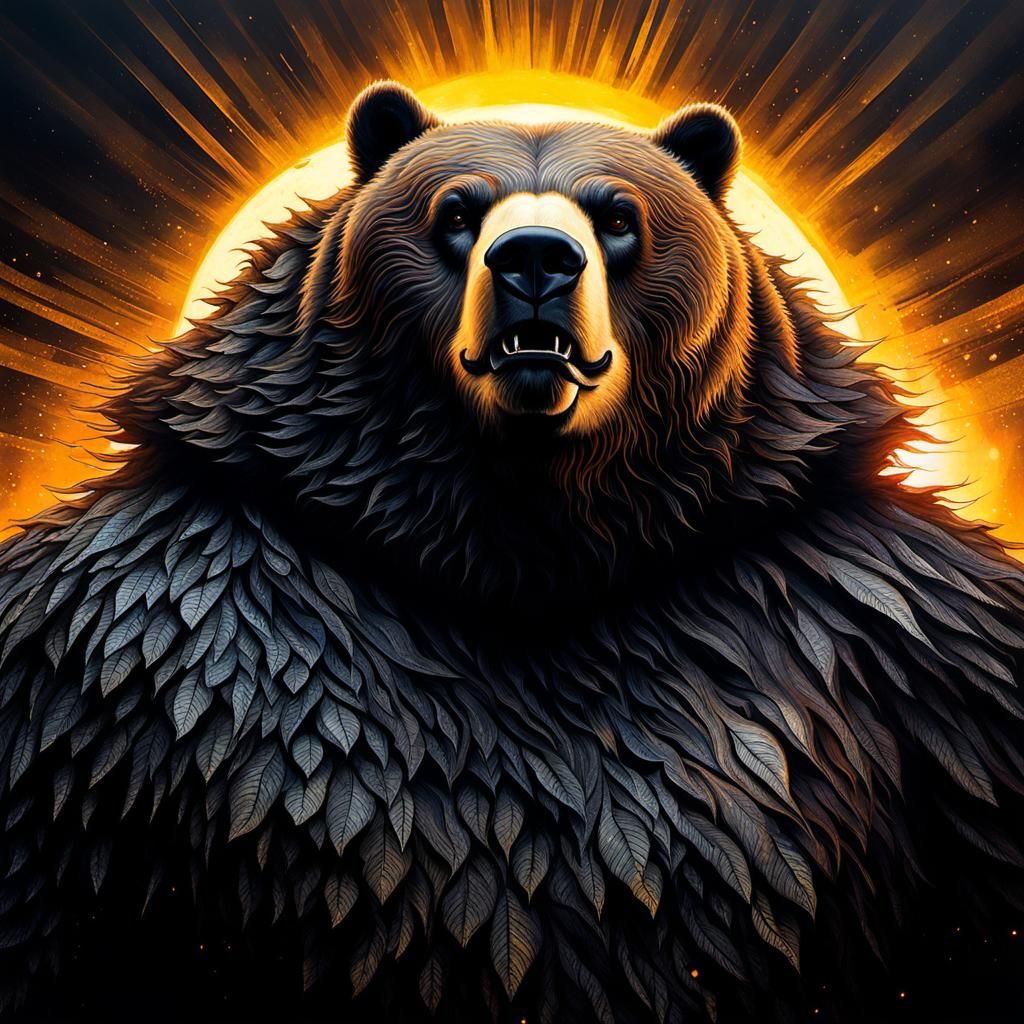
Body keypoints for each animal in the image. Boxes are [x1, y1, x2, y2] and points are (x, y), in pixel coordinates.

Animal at [1, 80, 1024, 1023]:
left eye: (618, 215)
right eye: (456, 211)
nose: (535, 257)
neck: (521, 534)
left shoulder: (878, 631)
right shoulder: (154, 642)